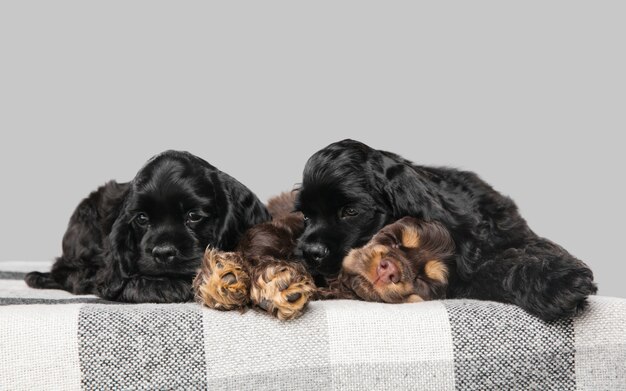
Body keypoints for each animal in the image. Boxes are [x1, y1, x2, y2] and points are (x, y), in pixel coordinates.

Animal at [294, 139, 596, 320]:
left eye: (351, 212)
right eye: (306, 216)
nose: (309, 252)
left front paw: (560, 279)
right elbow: (488, 271)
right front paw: (560, 283)